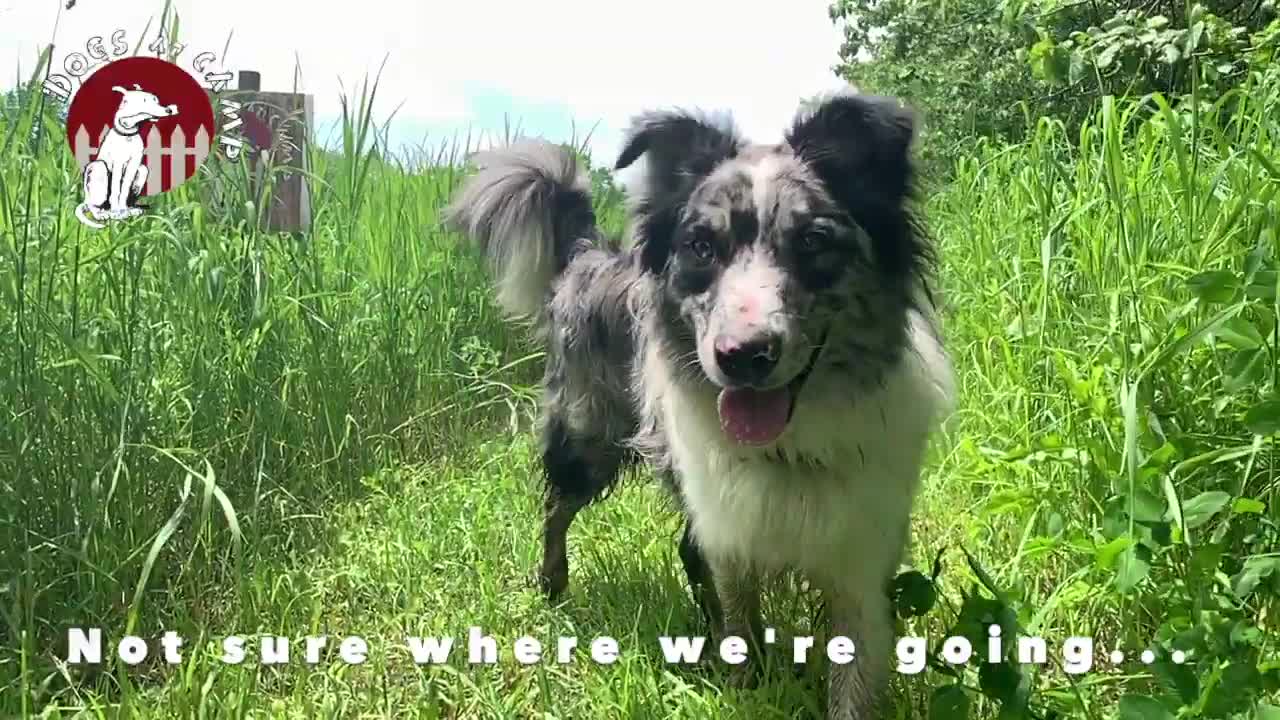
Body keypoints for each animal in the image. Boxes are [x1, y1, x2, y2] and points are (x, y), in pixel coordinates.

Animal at [75, 85, 179, 228]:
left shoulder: (134, 165)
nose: (168, 110)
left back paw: (130, 209)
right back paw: (102, 214)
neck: (127, 136)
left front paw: (124, 210)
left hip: (142, 170)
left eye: (155, 100)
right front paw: (117, 212)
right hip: (98, 168)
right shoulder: (118, 164)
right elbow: (116, 190)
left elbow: (124, 190)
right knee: (93, 205)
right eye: (144, 101)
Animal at [445, 90, 957, 717]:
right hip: (588, 438)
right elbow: (737, 620)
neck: (791, 444)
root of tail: (591, 254)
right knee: (556, 508)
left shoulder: (862, 555)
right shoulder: (727, 531)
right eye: (701, 247)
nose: (742, 356)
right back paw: (553, 585)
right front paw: (742, 681)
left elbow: (851, 678)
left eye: (812, 241)